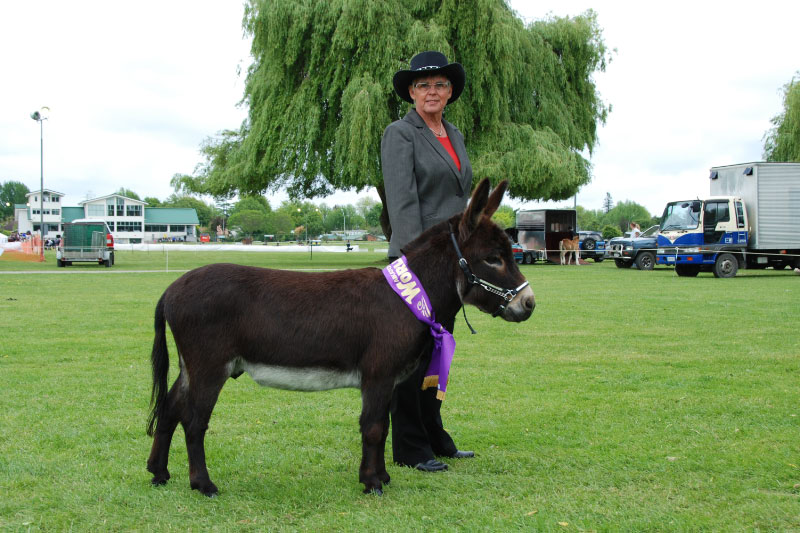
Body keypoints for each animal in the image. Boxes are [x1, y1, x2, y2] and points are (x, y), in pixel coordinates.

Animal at [147, 179, 536, 494]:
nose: (529, 304)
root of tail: (171, 289)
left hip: (191, 366)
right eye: (493, 259)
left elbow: (383, 425)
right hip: (210, 367)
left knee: (169, 409)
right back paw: (203, 485)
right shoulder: (378, 375)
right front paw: (372, 483)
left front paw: (382, 477)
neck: (408, 297)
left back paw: (159, 473)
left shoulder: (388, 380)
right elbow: (374, 427)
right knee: (194, 422)